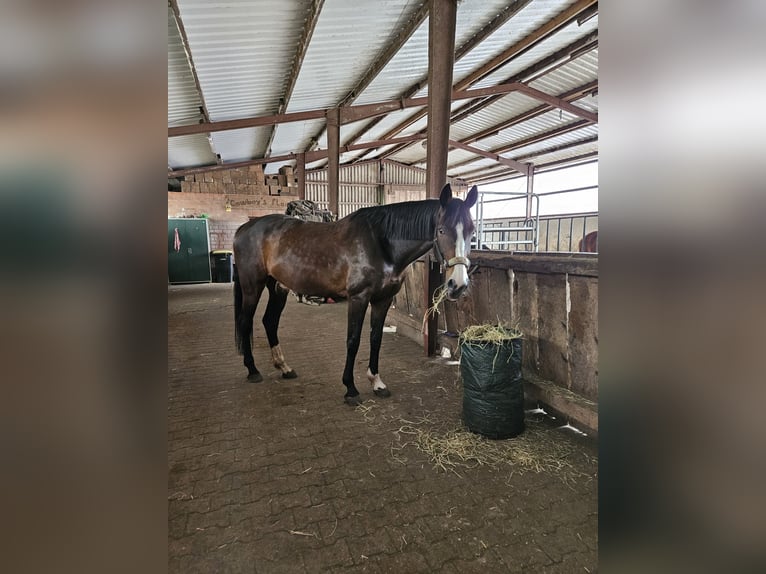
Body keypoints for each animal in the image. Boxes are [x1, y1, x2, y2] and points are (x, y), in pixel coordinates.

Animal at [232, 183, 478, 405]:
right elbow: (353, 340)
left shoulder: (383, 300)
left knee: (269, 321)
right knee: (245, 321)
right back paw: (253, 370)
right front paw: (350, 389)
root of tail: (244, 228)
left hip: (278, 288)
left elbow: (375, 338)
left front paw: (377, 383)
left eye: (472, 231)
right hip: (252, 286)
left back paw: (284, 367)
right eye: (441, 230)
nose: (458, 284)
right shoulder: (359, 298)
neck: (380, 242)